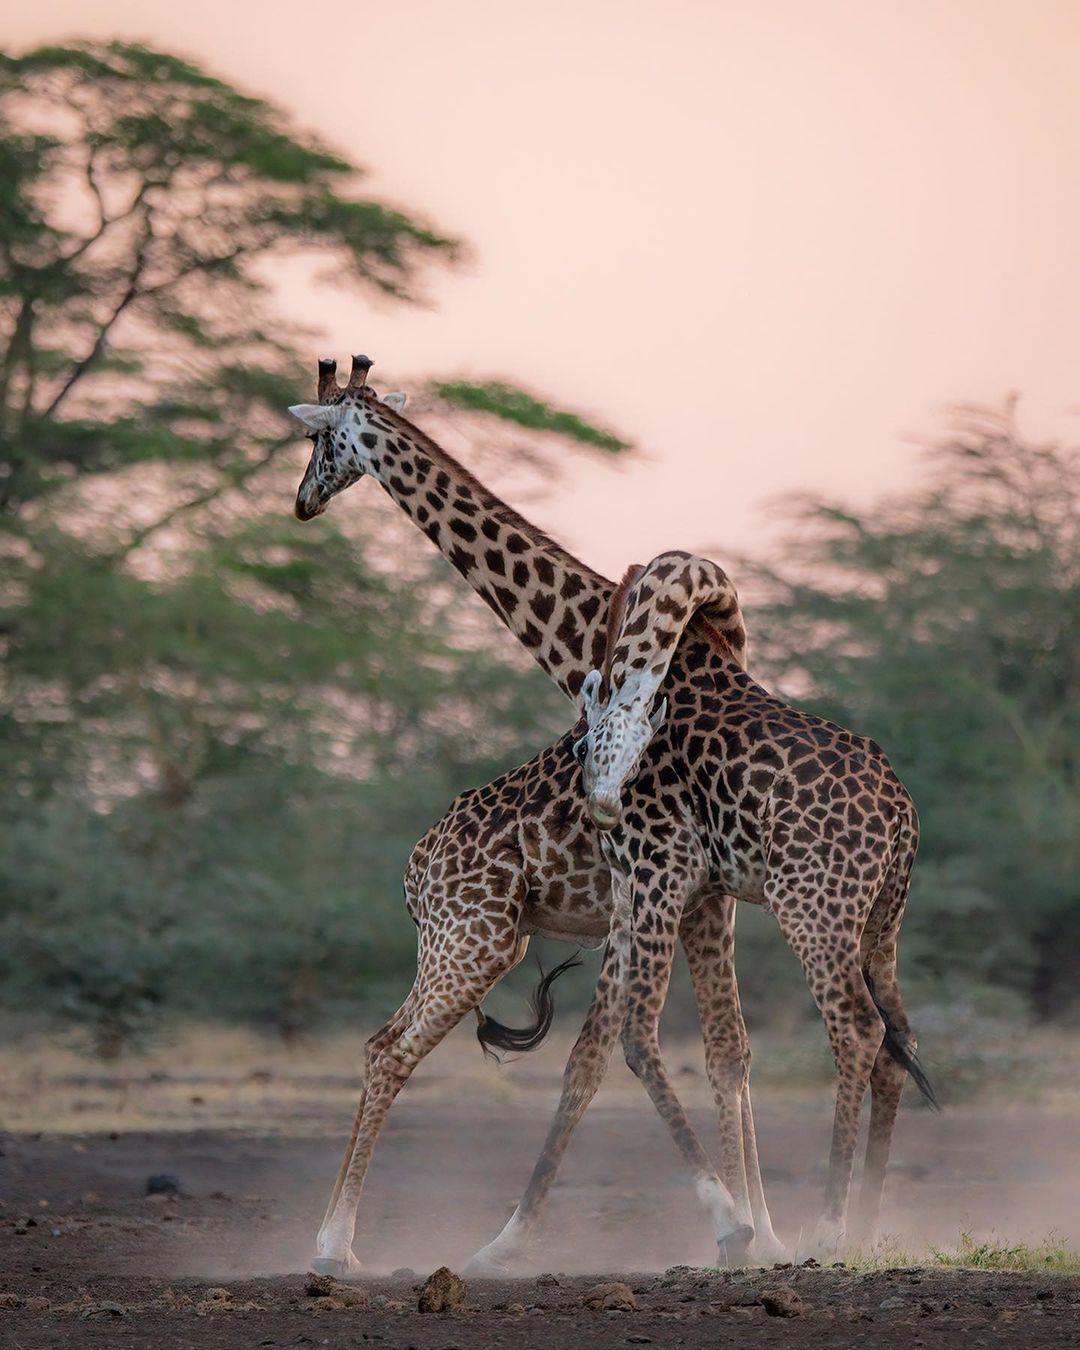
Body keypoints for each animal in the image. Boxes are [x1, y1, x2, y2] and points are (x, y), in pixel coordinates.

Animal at [288, 356, 783, 1274]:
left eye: (318, 440)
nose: (303, 499)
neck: (581, 627)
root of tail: (412, 875)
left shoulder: (687, 896)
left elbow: (706, 1051)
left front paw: (760, 1232)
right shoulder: (666, 896)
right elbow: (614, 1057)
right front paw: (743, 1226)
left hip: (482, 939)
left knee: (387, 1048)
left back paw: (339, 1245)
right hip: (470, 939)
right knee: (386, 1049)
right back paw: (337, 1245)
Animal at [572, 550, 934, 1252]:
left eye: (612, 743)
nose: (601, 805)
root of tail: (903, 815)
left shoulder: (660, 883)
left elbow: (645, 1040)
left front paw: (737, 1223)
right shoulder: (669, 895)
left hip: (814, 911)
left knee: (857, 1026)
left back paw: (826, 1229)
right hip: (884, 923)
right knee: (899, 1033)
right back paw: (864, 1229)